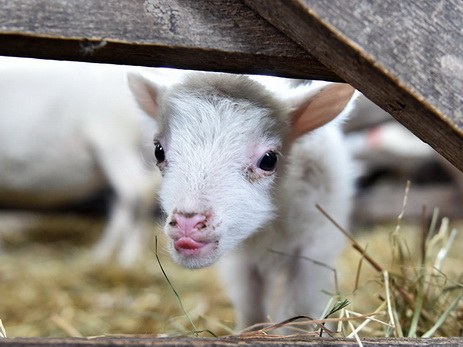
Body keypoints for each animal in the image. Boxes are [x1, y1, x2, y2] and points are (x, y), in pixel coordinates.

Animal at [129, 72, 358, 328]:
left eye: (269, 160)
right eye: (158, 151)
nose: (188, 224)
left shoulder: (314, 250)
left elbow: (299, 308)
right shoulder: (241, 264)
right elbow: (251, 306)